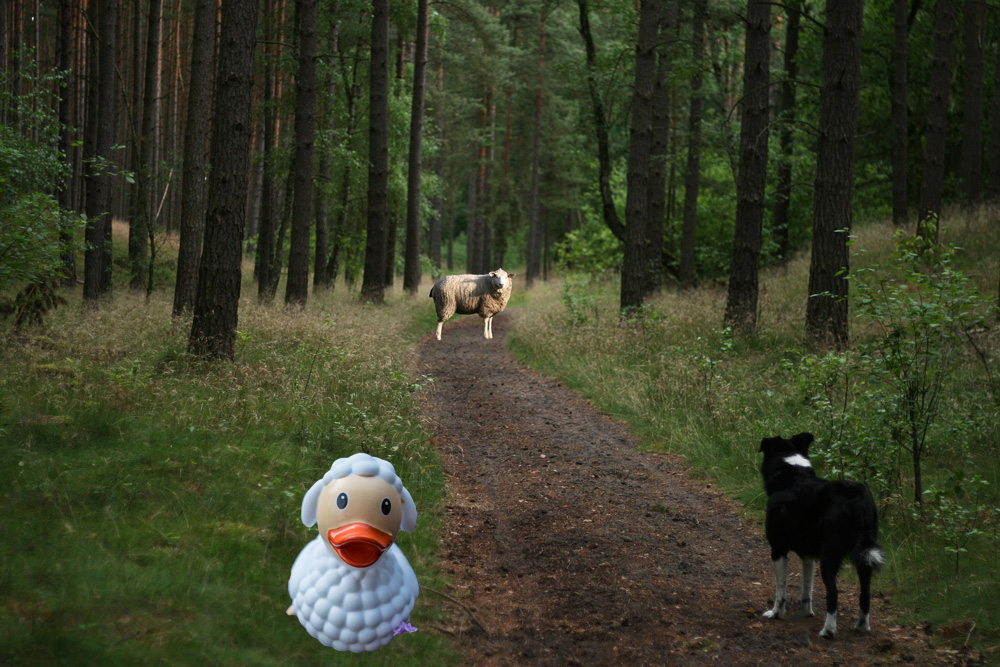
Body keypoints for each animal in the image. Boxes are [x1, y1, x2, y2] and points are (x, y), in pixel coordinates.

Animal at [756, 436, 884, 640]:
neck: (792, 475)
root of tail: (857, 498)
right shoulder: (808, 556)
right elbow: (806, 590)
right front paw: (806, 613)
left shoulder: (778, 549)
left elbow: (781, 590)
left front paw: (776, 614)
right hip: (864, 558)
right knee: (865, 593)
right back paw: (861, 626)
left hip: (829, 556)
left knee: (833, 594)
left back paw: (828, 630)